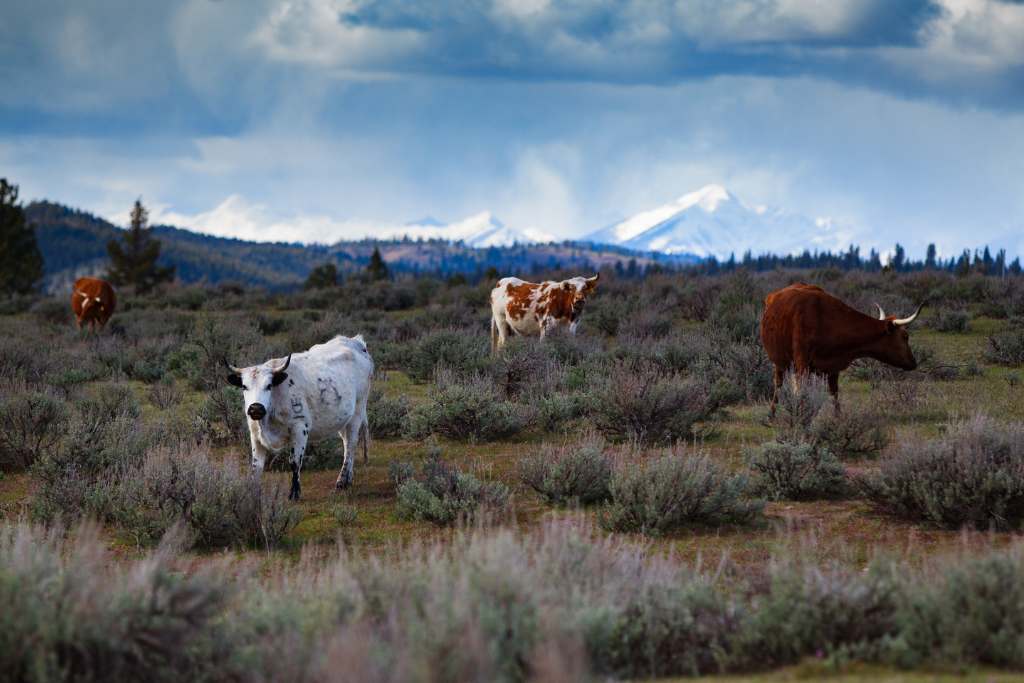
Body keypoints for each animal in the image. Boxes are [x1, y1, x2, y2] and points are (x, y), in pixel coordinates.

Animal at [224, 335, 373, 500]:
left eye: (269, 386)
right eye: (244, 387)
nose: (256, 408)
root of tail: (356, 342)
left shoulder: (300, 428)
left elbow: (295, 462)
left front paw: (294, 493)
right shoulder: (255, 434)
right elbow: (256, 466)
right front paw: (252, 494)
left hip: (357, 412)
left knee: (351, 444)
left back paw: (342, 481)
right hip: (343, 419)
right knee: (346, 444)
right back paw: (348, 479)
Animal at [760, 283, 923, 413]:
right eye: (905, 336)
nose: (914, 363)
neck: (825, 320)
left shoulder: (834, 366)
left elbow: (834, 393)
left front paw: (838, 418)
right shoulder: (802, 364)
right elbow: (802, 391)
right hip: (780, 363)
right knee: (778, 385)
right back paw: (771, 415)